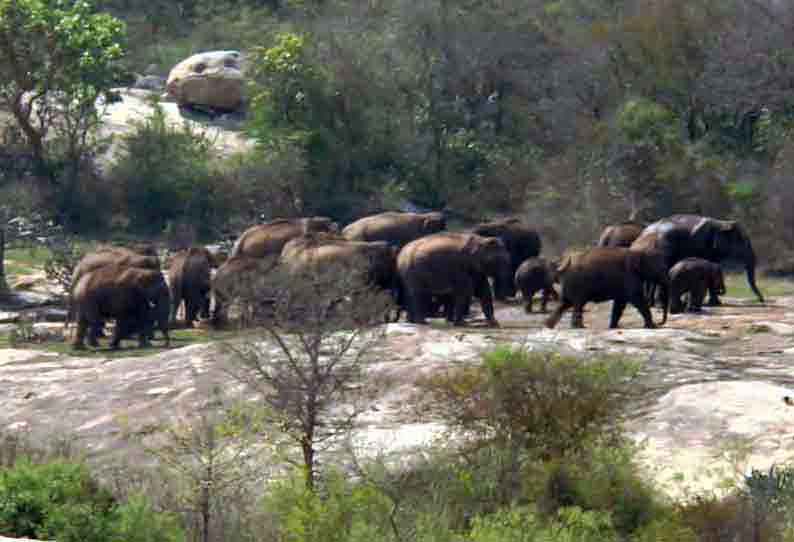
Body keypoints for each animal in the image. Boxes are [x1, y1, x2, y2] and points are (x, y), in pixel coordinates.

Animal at [632, 215, 760, 304]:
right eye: (742, 242)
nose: (761, 300)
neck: (721, 223)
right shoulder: (701, 244)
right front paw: (716, 304)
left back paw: (653, 303)